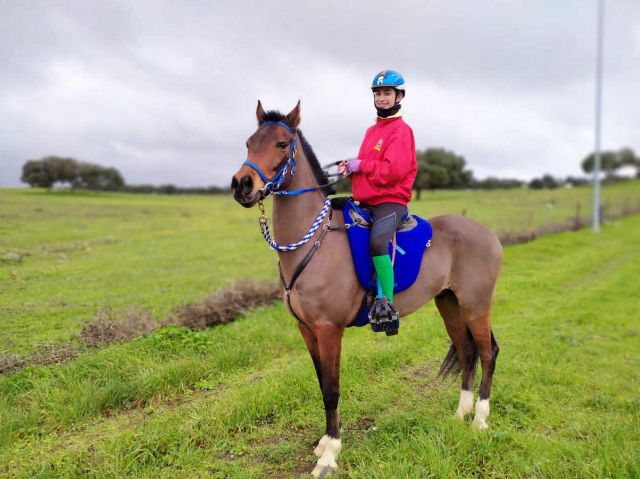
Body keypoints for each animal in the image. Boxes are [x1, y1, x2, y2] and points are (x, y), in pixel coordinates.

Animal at [232, 100, 502, 476]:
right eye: (249, 142)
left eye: (282, 144)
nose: (242, 184)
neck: (314, 242)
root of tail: (488, 233)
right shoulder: (306, 330)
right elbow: (321, 383)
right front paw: (323, 444)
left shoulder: (329, 329)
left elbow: (332, 389)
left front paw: (330, 455)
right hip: (449, 303)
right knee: (466, 352)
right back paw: (461, 413)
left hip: (476, 306)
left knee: (488, 353)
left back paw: (479, 420)